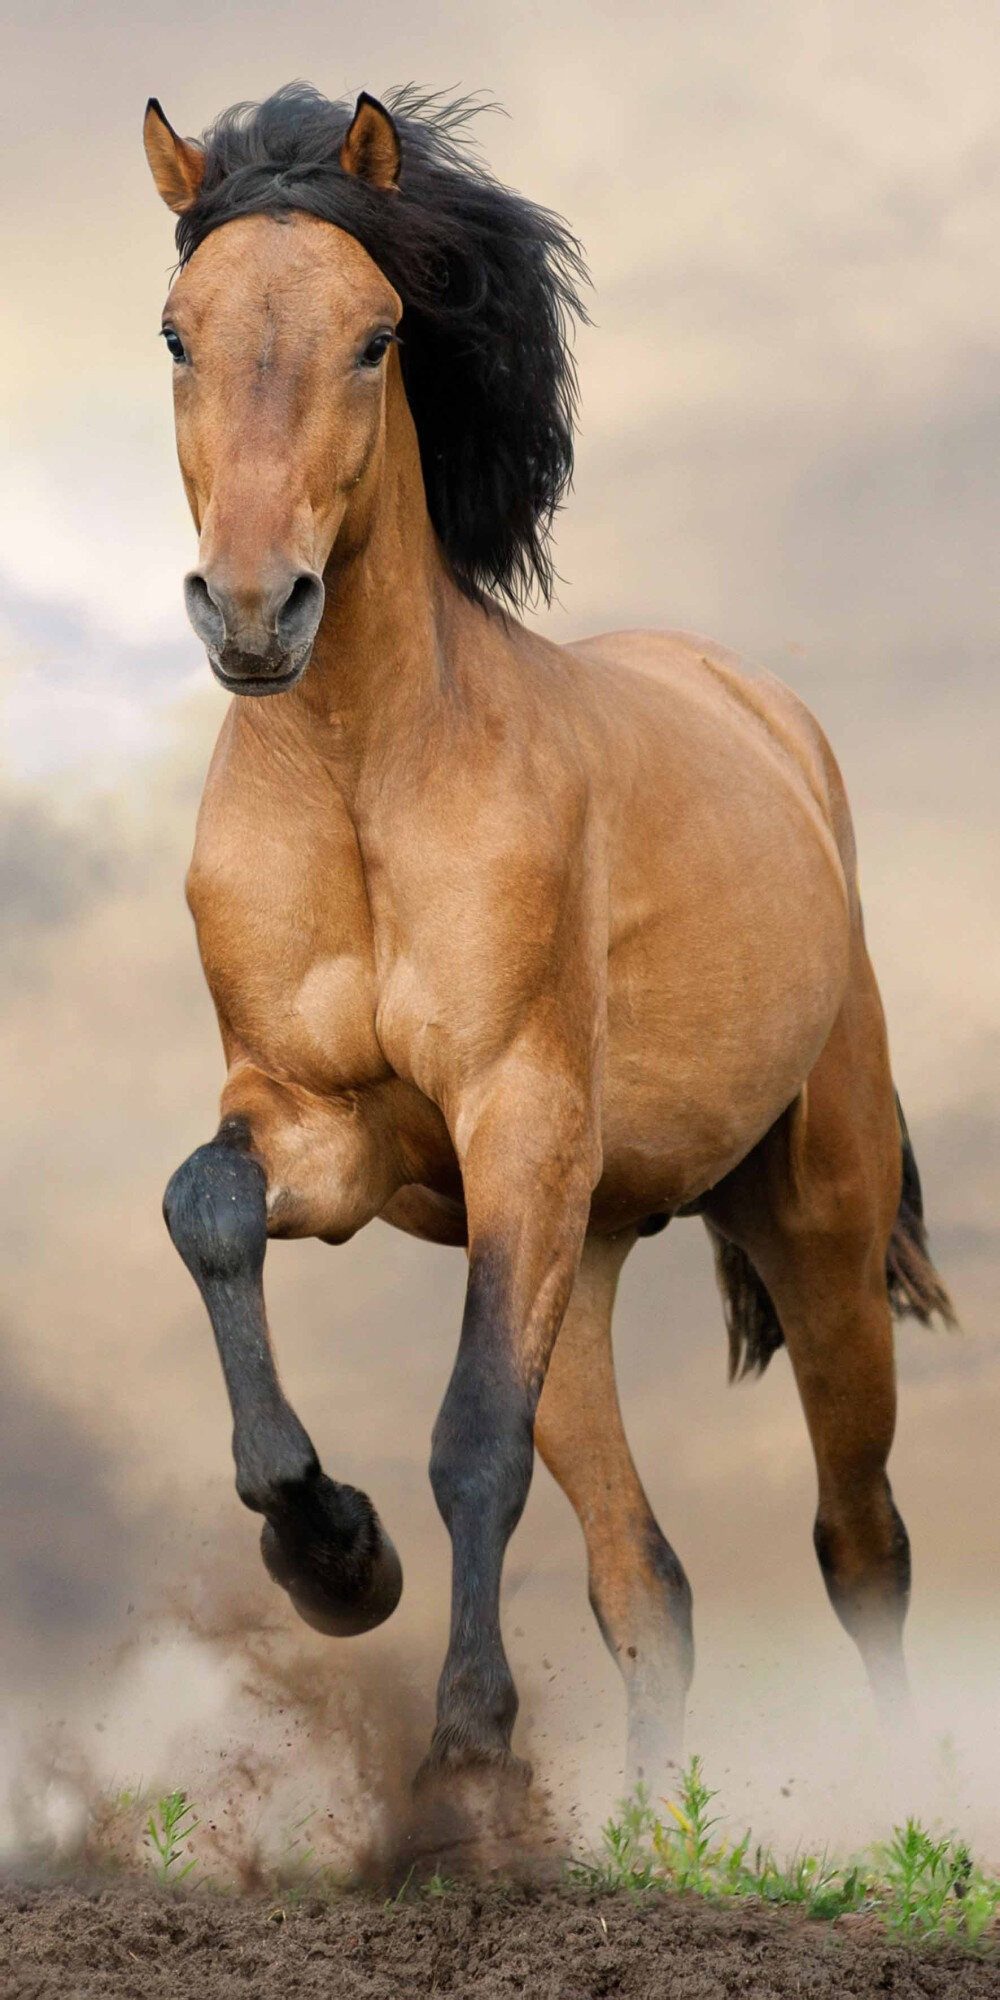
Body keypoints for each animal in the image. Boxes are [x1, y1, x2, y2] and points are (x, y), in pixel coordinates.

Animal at [144, 83, 953, 1799]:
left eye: (379, 335)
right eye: (179, 333)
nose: (254, 612)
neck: (367, 782)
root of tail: (768, 718)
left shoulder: (514, 1114)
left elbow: (470, 1444)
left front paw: (466, 1748)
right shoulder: (327, 1133)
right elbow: (208, 1211)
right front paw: (331, 1554)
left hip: (816, 1227)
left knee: (860, 1543)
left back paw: (903, 1799)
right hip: (578, 1250)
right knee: (649, 1582)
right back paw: (650, 1833)